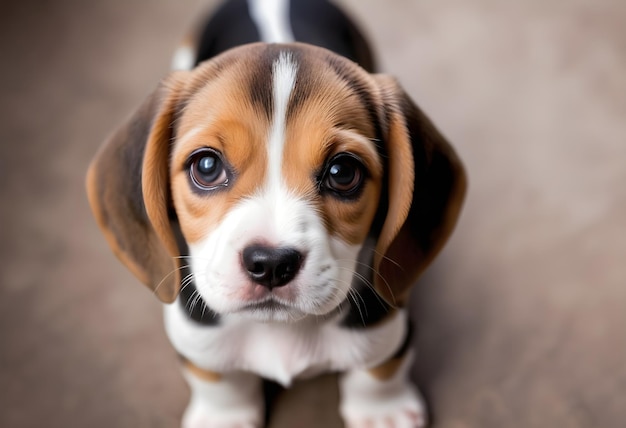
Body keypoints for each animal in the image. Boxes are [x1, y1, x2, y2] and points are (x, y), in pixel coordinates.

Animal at [85, 0, 464, 426]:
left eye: (342, 172)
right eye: (206, 167)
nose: (270, 263)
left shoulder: (385, 321)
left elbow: (380, 366)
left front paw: (382, 412)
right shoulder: (195, 334)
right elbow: (214, 376)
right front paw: (224, 416)